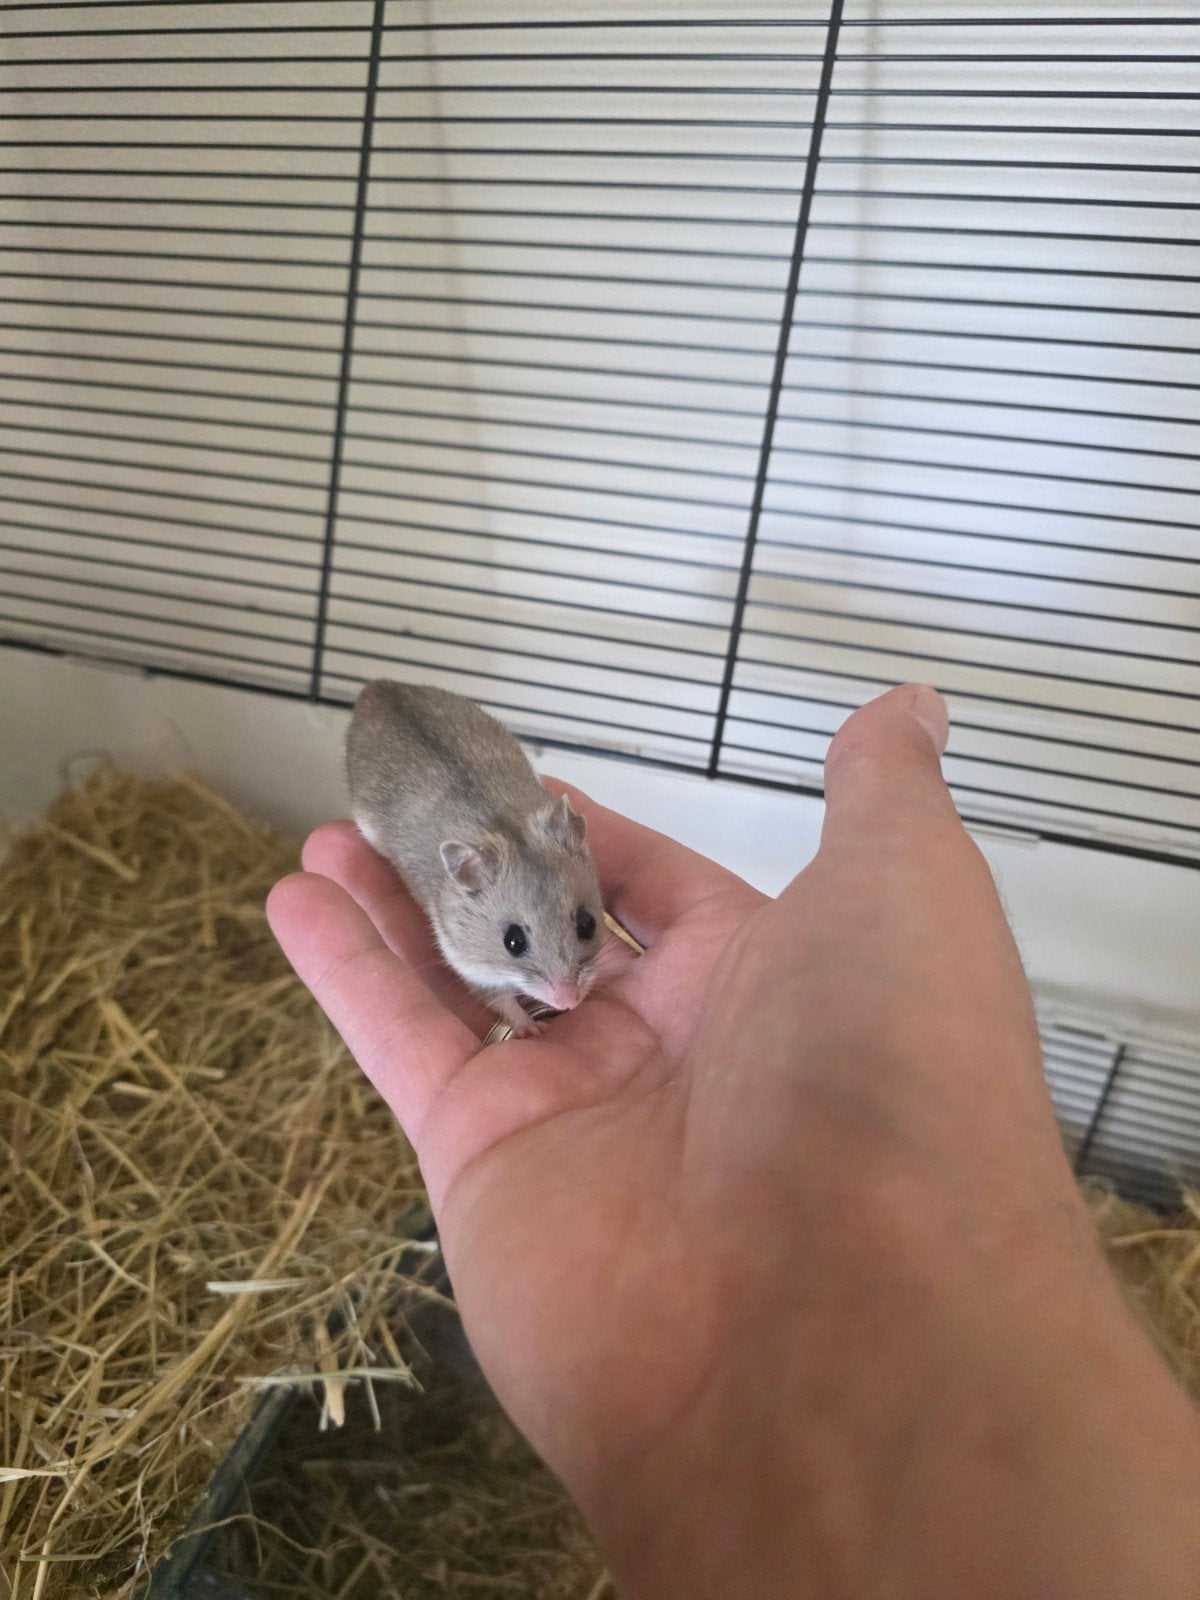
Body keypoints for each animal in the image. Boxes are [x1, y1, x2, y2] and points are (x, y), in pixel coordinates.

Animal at [345, 680, 607, 1038]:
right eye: (513, 942)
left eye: (587, 924)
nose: (569, 1003)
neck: (505, 829)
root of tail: (374, 687)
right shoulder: (467, 963)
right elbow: (502, 1002)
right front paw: (533, 1030)